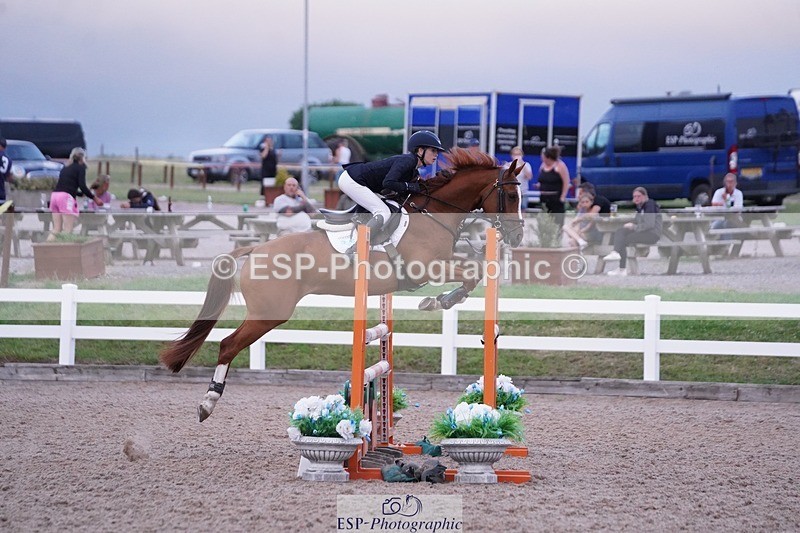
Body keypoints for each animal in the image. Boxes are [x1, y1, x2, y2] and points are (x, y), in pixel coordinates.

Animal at [159, 148, 526, 421]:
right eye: (510, 194)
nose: (518, 237)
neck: (434, 213)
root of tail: (255, 250)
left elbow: (474, 268)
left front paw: (441, 301)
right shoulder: (425, 268)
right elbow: (471, 272)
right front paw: (438, 301)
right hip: (269, 313)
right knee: (227, 345)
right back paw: (208, 403)